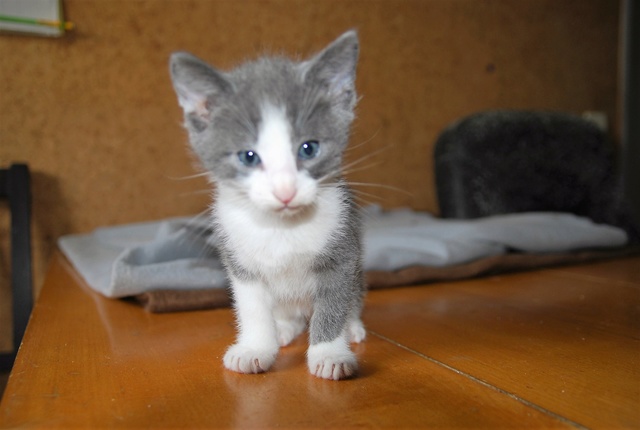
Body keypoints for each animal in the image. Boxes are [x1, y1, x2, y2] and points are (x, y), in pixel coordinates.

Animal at [168, 31, 368, 380]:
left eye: (308, 148)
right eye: (248, 156)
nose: (285, 191)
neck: (281, 228)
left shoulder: (343, 249)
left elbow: (333, 302)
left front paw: (330, 354)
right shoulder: (240, 259)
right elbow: (252, 307)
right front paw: (255, 348)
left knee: (352, 297)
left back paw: (352, 327)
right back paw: (284, 329)